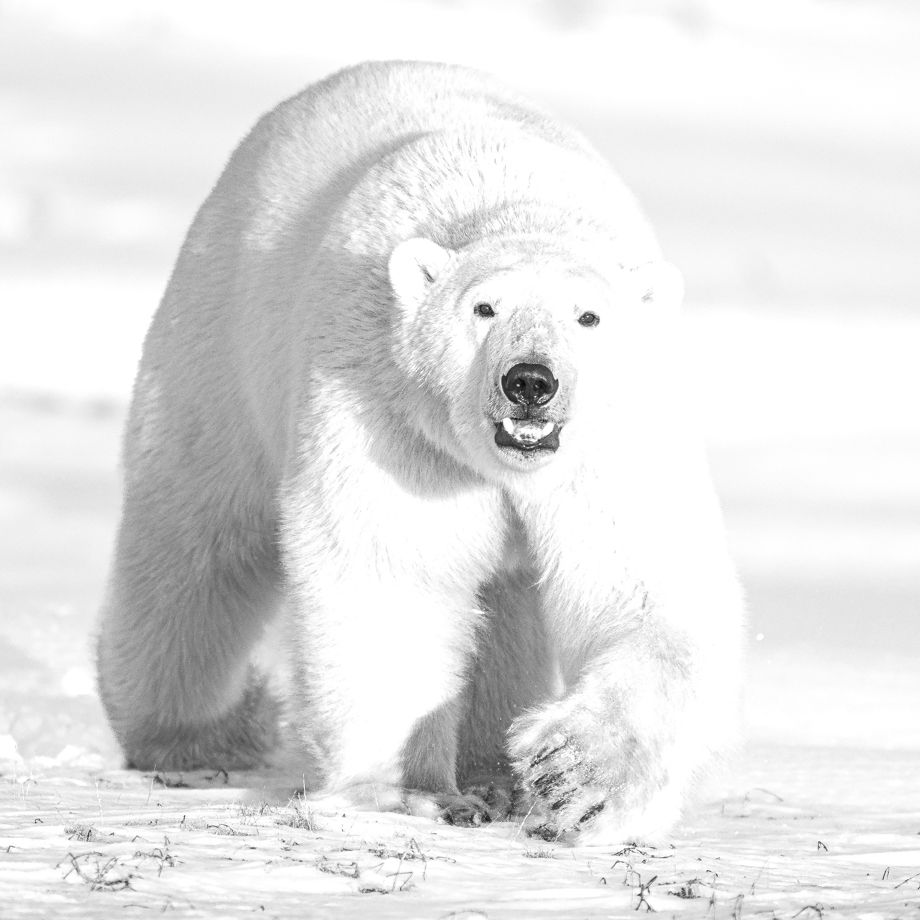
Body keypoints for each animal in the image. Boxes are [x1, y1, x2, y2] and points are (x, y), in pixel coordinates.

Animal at [96, 60, 744, 842]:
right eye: (485, 308)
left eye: (588, 317)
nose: (530, 382)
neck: (516, 203)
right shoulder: (394, 419)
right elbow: (394, 570)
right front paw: (414, 792)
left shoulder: (616, 443)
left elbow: (645, 585)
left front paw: (572, 775)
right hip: (219, 341)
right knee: (196, 543)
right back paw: (201, 733)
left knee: (502, 604)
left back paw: (494, 766)